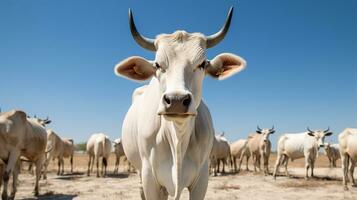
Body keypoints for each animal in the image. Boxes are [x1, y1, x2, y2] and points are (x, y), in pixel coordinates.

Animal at [114, 6, 245, 200]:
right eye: (157, 65)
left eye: (202, 64)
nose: (176, 100)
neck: (178, 138)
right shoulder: (150, 178)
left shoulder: (202, 179)